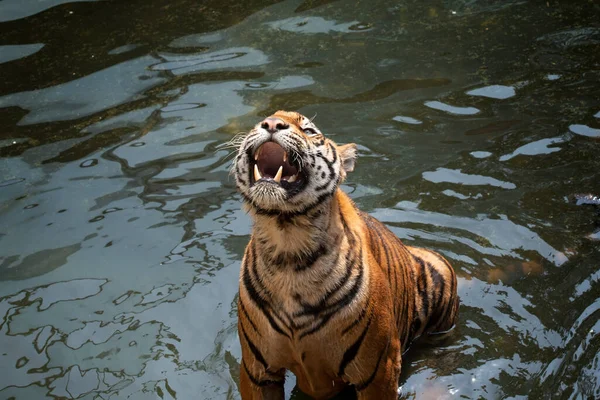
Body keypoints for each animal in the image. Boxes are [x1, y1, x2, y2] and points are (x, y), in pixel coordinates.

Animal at [232, 110, 458, 400]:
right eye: (261, 121)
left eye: (309, 130)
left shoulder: (378, 370)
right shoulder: (257, 371)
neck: (288, 242)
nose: (271, 124)